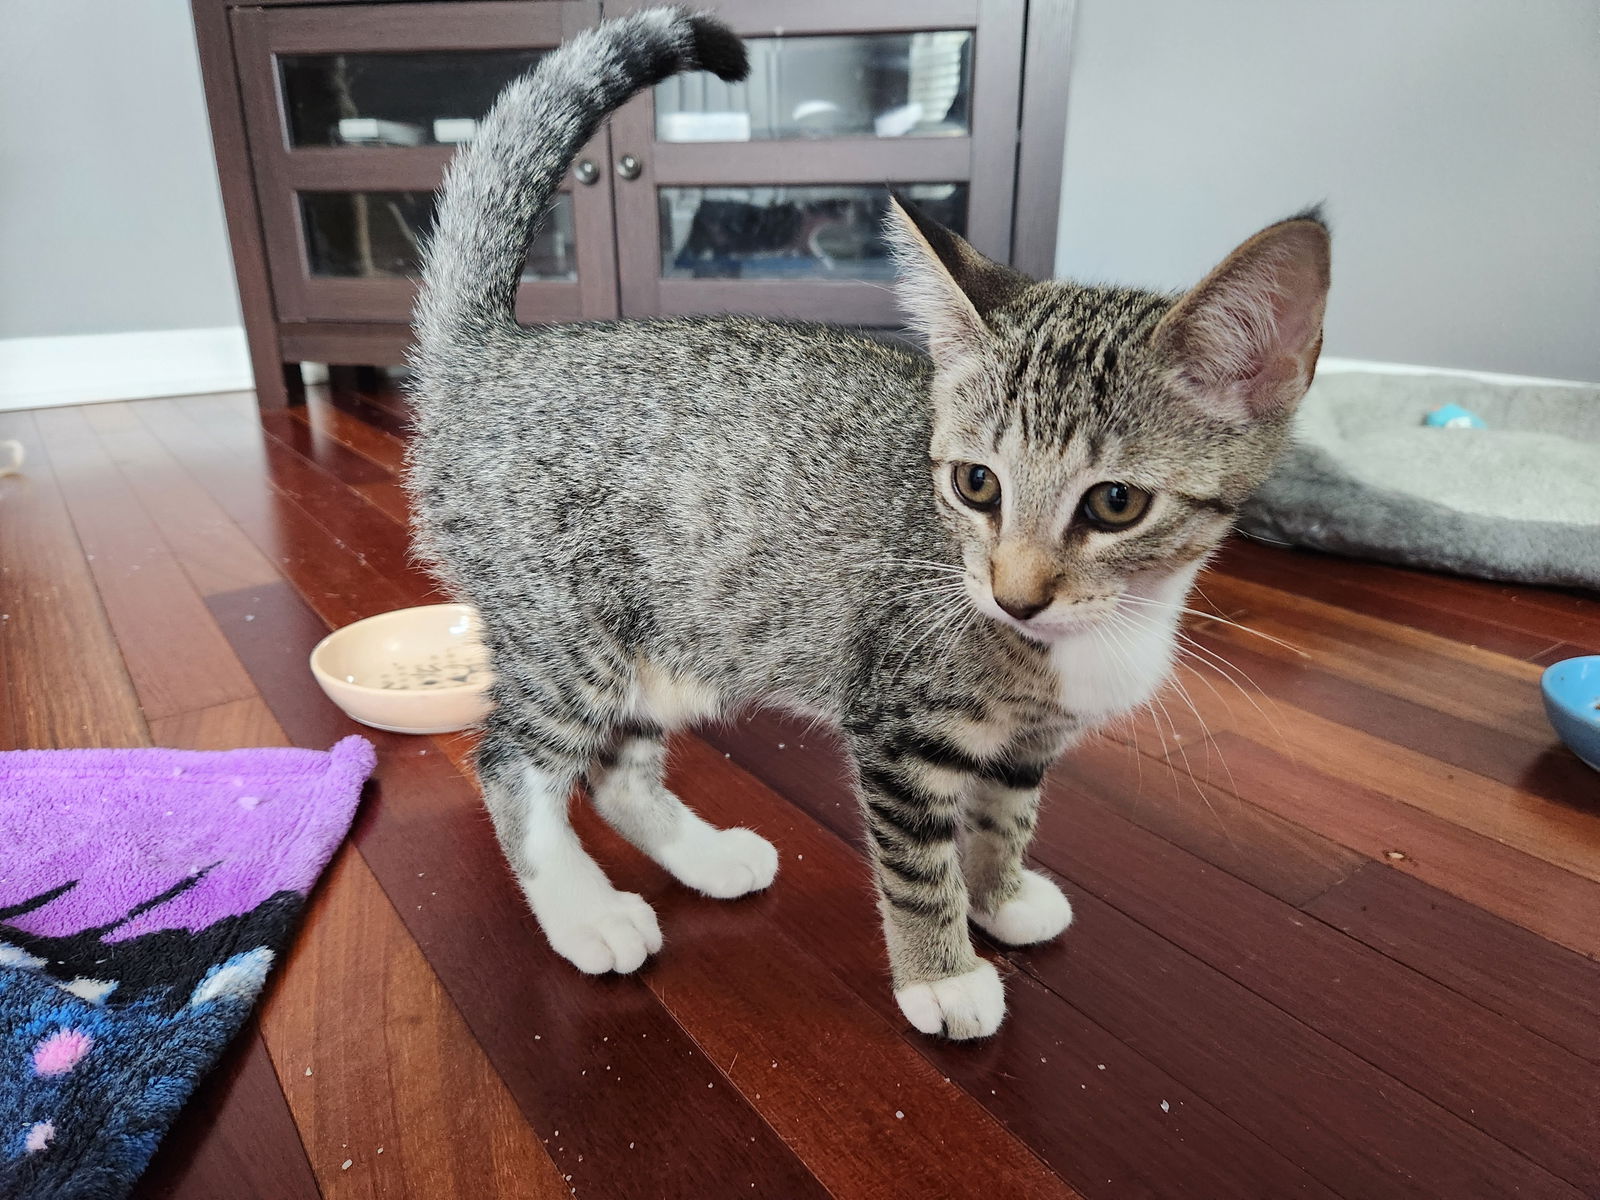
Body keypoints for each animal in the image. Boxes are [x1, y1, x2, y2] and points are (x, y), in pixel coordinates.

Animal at [406, 9, 1331, 1036]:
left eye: (1115, 503)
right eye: (977, 484)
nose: (1015, 595)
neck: (1090, 635)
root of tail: (492, 351)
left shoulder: (1028, 746)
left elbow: (1005, 814)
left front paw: (1002, 896)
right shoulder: (896, 723)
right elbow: (918, 862)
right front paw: (943, 973)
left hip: (680, 636)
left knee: (615, 769)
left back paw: (707, 857)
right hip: (568, 629)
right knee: (510, 761)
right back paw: (583, 913)